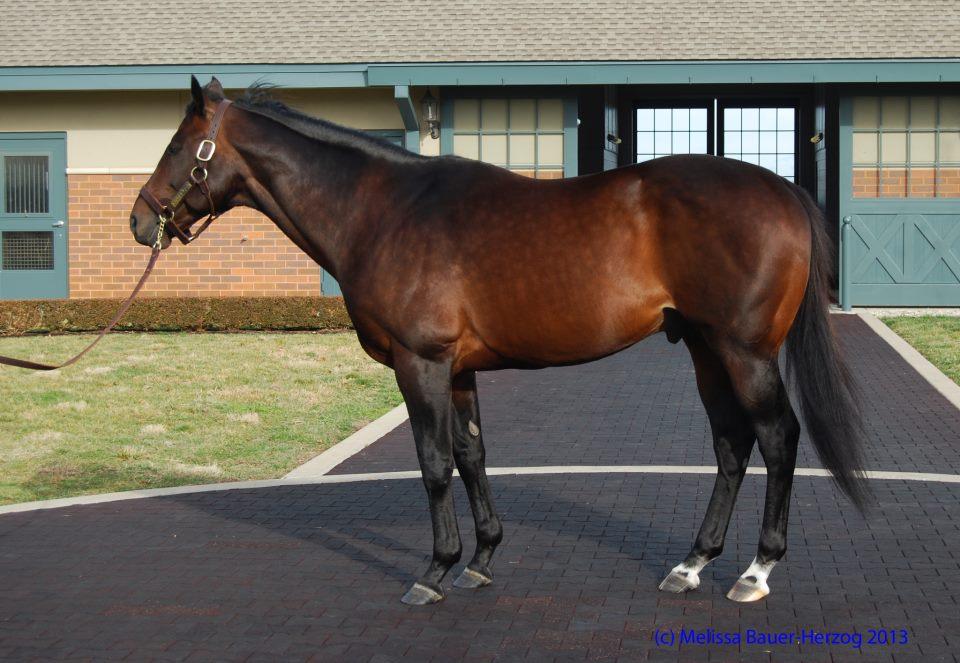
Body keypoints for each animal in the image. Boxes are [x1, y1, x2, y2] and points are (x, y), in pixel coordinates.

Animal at [129, 76, 869, 605]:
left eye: (177, 147)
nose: (141, 221)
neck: (383, 210)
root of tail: (781, 191)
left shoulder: (419, 363)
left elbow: (433, 463)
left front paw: (434, 570)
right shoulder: (457, 370)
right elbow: (471, 454)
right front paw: (481, 559)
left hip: (744, 351)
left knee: (777, 437)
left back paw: (757, 570)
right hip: (705, 349)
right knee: (731, 444)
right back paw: (691, 564)